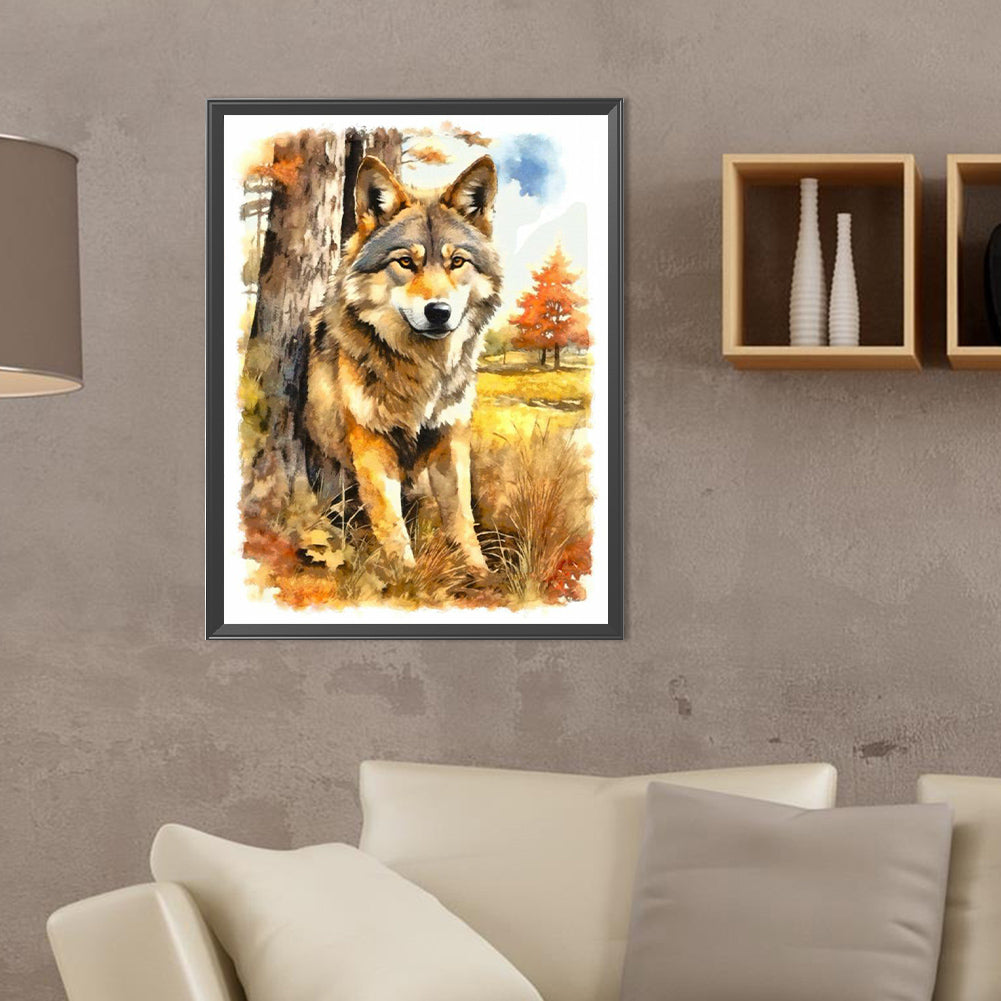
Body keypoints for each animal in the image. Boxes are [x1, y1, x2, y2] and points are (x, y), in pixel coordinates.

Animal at [302, 153, 502, 575]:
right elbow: (392, 525)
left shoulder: (450, 437)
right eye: (406, 262)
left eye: (457, 262)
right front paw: (405, 579)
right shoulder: (371, 443)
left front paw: (480, 574)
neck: (421, 370)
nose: (438, 312)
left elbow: (461, 515)